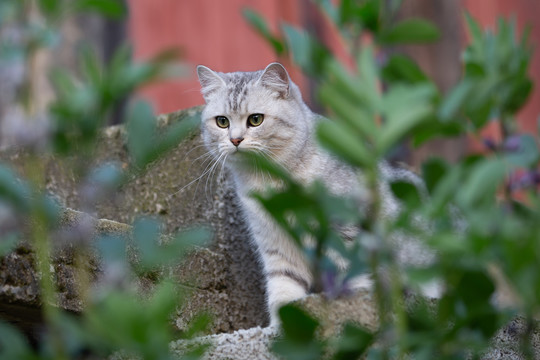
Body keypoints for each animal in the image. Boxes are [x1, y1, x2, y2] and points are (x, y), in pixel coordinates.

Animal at [196, 62, 432, 326]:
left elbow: (349, 277)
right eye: (222, 122)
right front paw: (282, 328)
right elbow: (282, 291)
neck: (270, 181)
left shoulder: (345, 234)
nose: (235, 140)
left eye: (255, 120)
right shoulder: (276, 245)